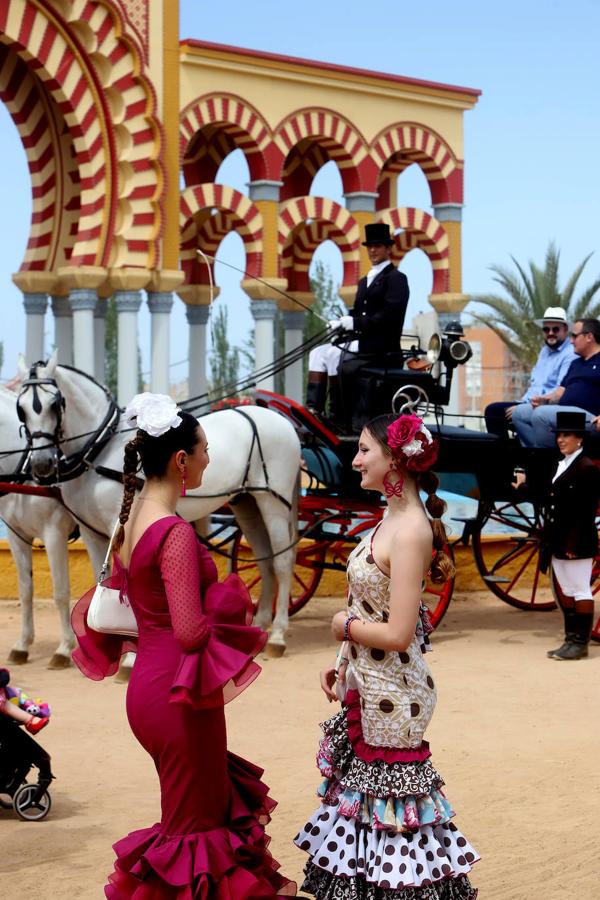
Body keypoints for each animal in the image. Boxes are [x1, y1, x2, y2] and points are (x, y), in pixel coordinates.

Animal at [0, 386, 77, 668]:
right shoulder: (17, 536)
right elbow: (25, 591)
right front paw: (23, 644)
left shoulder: (54, 534)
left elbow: (61, 591)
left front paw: (64, 648)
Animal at [17, 354, 302, 660]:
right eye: (21, 408)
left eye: (54, 403)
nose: (41, 464)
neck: (101, 450)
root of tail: (283, 422)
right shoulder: (90, 531)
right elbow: (99, 580)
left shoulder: (119, 525)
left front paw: (129, 655)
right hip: (247, 503)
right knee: (265, 560)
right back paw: (258, 626)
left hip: (273, 502)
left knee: (283, 561)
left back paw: (278, 634)